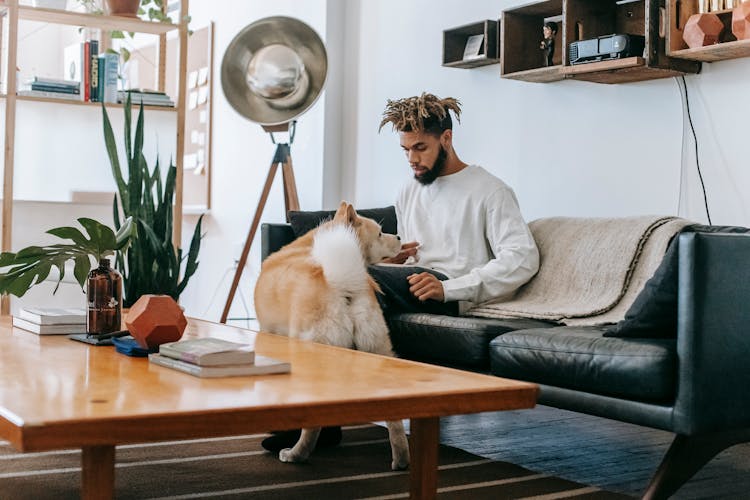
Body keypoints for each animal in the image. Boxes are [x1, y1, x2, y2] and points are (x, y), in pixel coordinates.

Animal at [258, 201, 412, 470]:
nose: (400, 237)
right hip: (377, 350)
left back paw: (295, 454)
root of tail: (345, 287)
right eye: (380, 233)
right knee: (395, 423)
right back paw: (401, 460)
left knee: (312, 424)